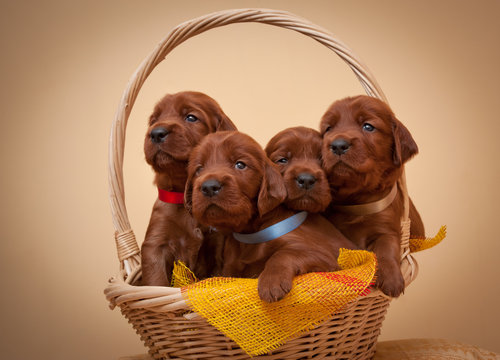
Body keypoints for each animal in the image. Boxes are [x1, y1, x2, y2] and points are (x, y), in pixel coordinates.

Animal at [140, 90, 235, 286]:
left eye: (191, 117)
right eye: (153, 120)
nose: (156, 133)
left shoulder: (218, 245)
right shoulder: (155, 244)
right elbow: (156, 281)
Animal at [187, 131, 356, 302]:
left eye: (240, 164)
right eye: (199, 169)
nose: (209, 187)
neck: (251, 233)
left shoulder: (327, 258)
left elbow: (284, 253)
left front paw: (271, 283)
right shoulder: (231, 270)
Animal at [322, 94, 424, 296]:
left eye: (368, 126)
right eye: (328, 129)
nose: (337, 145)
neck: (356, 200)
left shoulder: (387, 227)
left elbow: (386, 247)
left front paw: (392, 279)